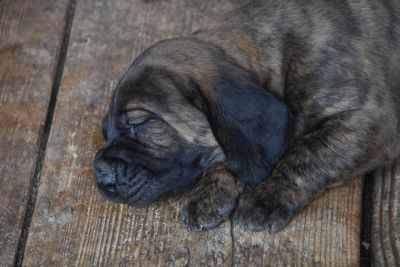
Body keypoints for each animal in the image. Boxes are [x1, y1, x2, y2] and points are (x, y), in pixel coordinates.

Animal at [94, 0, 400, 233]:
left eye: (140, 124)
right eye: (106, 133)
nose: (100, 175)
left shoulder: (371, 120)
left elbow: (307, 154)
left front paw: (266, 197)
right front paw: (209, 193)